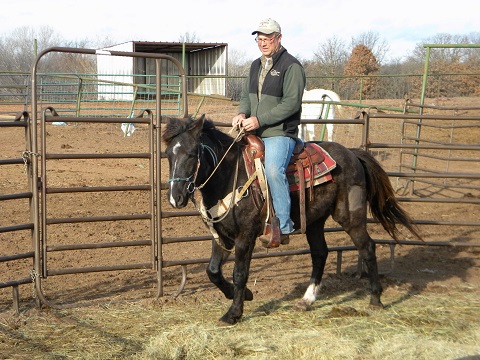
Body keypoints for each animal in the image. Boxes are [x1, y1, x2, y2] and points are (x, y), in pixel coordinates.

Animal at [162, 115, 420, 326]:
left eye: (191, 154)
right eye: (168, 155)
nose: (176, 198)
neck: (230, 175)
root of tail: (353, 153)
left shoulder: (246, 236)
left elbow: (239, 273)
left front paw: (233, 313)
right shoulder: (222, 235)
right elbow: (213, 271)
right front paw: (243, 295)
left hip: (351, 217)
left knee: (367, 247)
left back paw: (375, 299)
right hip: (315, 221)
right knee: (320, 253)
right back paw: (307, 299)